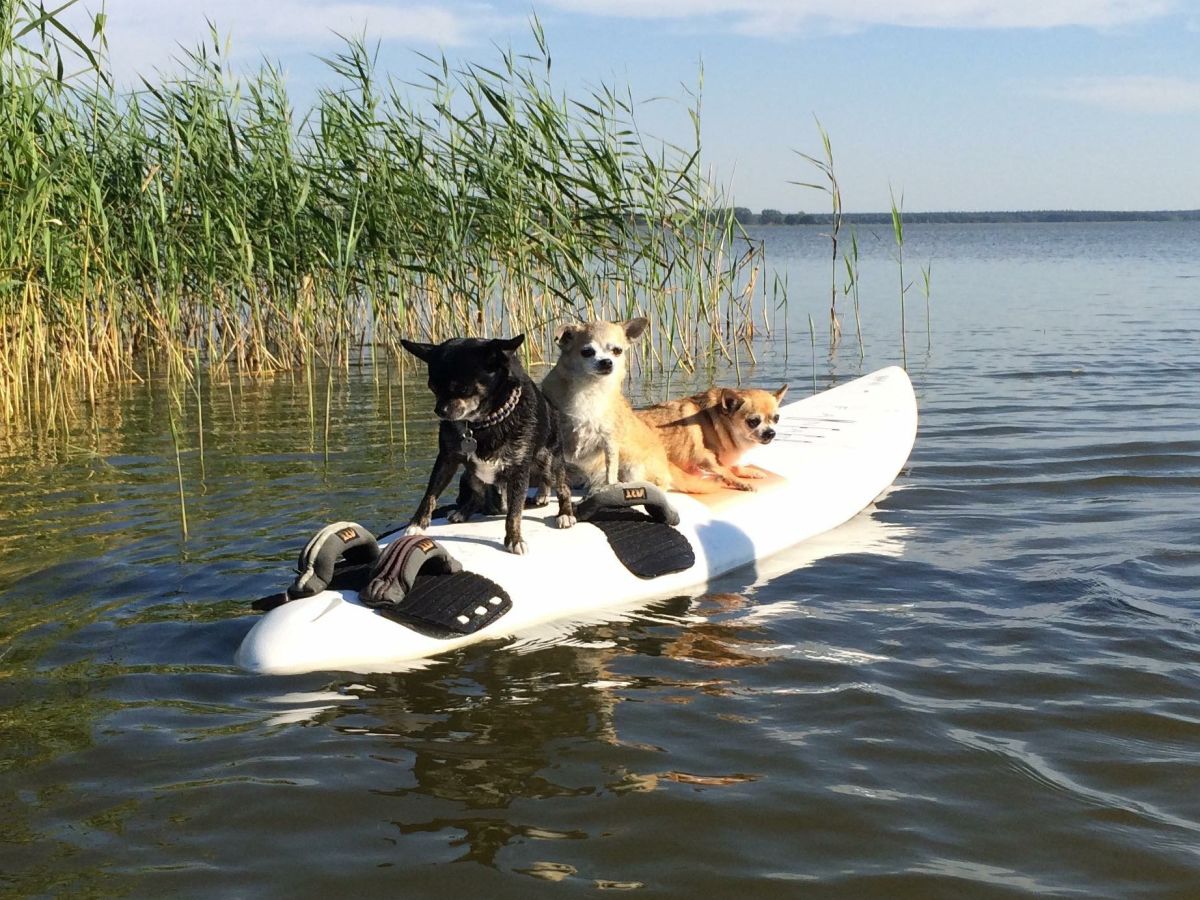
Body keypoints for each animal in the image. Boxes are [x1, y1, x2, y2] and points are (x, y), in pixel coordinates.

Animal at [398, 336, 576, 554]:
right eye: (433, 387)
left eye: (463, 389)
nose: (440, 411)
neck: (483, 423)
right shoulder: (446, 459)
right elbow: (430, 493)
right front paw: (417, 524)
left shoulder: (518, 470)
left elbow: (514, 512)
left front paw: (514, 539)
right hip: (469, 475)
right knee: (478, 495)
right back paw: (462, 512)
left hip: (550, 461)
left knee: (562, 487)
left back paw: (564, 513)